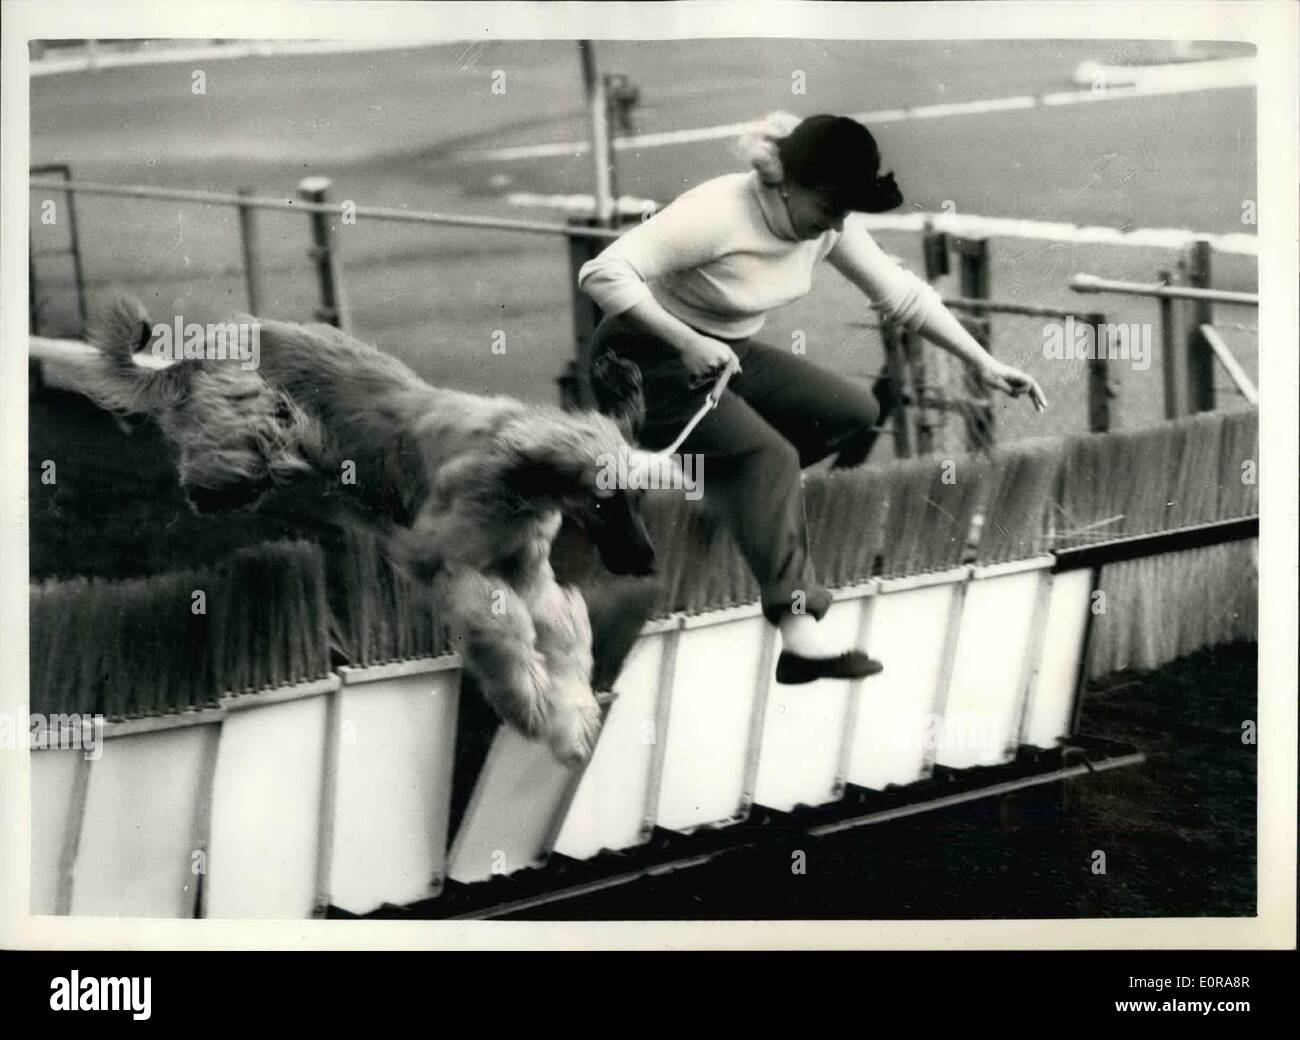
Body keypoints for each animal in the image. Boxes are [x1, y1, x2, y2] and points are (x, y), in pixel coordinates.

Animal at [76, 292, 655, 764]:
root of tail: (219, 338)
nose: (647, 562)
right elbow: (504, 626)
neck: (515, 478)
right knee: (235, 447)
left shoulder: (524, 569)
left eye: (638, 496)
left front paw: (572, 725)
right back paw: (225, 483)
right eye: (603, 501)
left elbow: (563, 627)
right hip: (252, 409)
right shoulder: (437, 557)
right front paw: (531, 706)